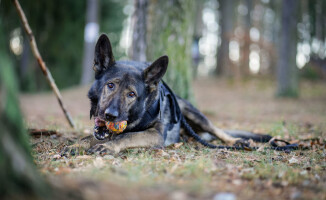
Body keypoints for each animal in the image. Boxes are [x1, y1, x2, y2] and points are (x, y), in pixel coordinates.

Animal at [65, 34, 272, 155]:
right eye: (110, 85)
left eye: (131, 94)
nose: (110, 115)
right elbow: (89, 137)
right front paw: (78, 145)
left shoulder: (156, 134)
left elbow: (125, 136)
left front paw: (108, 146)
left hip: (192, 113)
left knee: (218, 131)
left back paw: (237, 141)